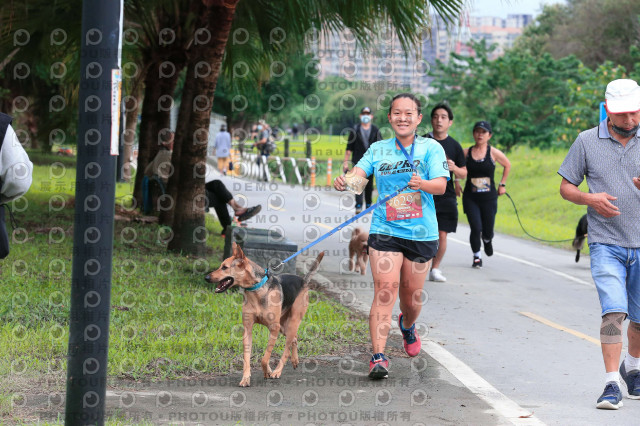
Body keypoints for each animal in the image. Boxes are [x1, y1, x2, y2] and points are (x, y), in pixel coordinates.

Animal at [205, 243, 324, 386]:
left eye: (224, 267)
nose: (206, 278)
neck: (257, 289)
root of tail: (303, 280)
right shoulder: (248, 329)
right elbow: (247, 358)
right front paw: (246, 378)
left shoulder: (274, 328)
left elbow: (265, 358)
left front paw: (268, 371)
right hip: (284, 327)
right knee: (294, 339)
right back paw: (294, 360)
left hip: (291, 323)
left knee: (287, 348)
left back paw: (277, 371)